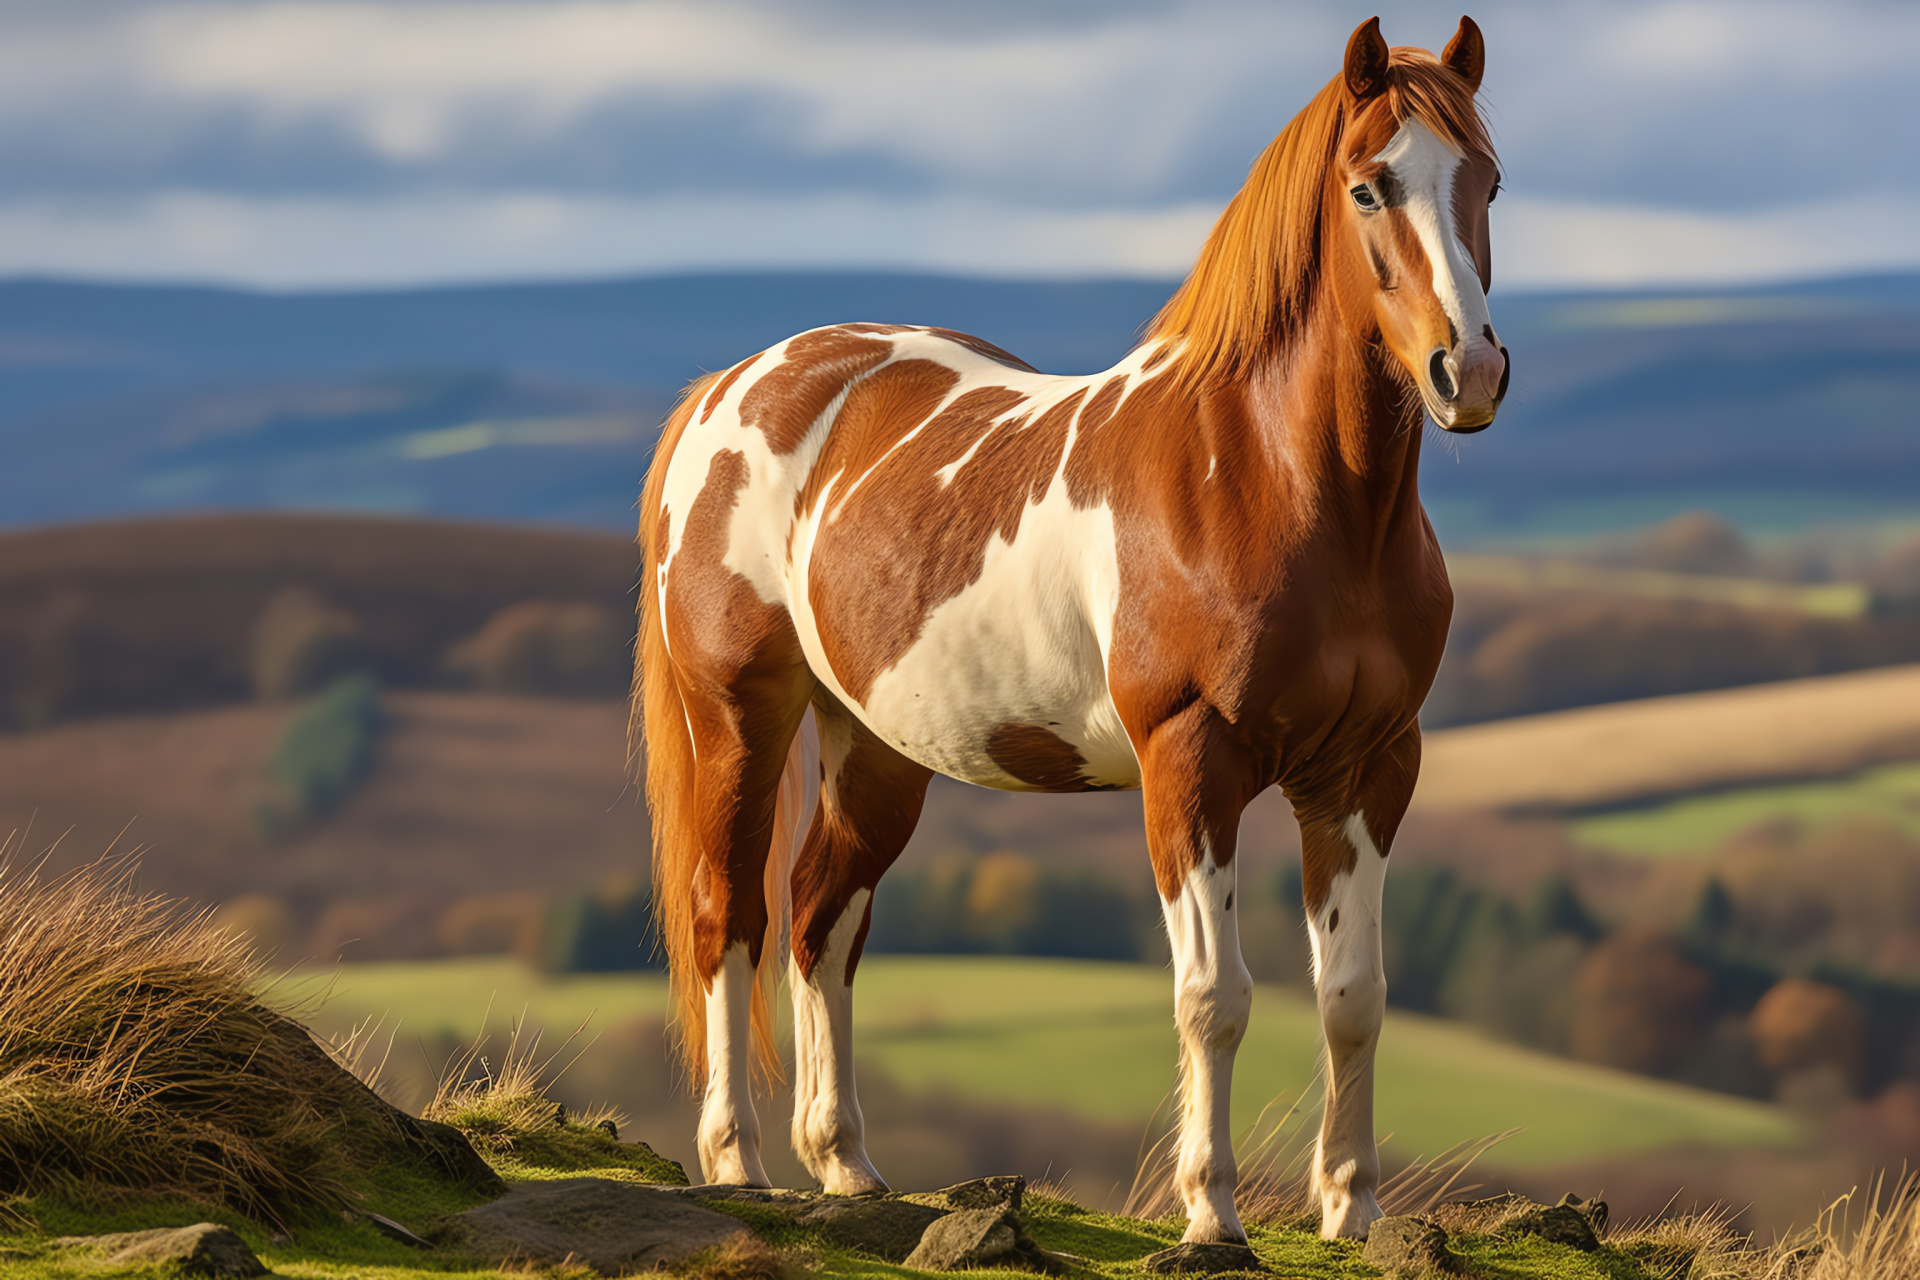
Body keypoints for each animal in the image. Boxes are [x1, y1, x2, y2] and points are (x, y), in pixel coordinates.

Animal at [637, 14, 1505, 1243]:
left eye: (1488, 179)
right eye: (1368, 186)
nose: (1467, 369)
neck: (1272, 480)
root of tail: (733, 385)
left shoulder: (1367, 770)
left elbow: (1354, 995)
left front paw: (1351, 1214)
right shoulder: (1190, 762)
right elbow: (1214, 997)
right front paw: (1211, 1215)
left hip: (877, 745)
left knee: (820, 919)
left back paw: (847, 1164)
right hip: (739, 719)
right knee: (729, 916)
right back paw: (737, 1163)